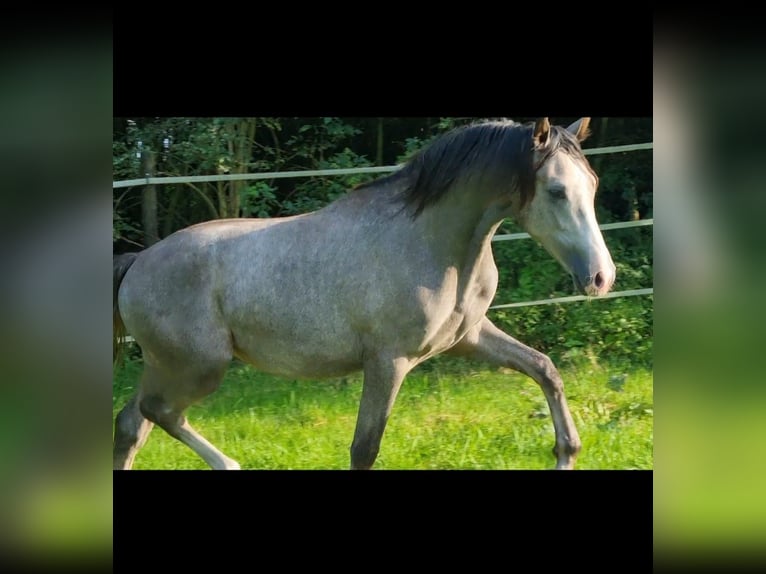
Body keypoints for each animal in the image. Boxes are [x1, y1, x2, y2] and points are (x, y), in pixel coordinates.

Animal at [112, 118, 616, 472]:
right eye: (556, 190)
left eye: (592, 184)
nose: (600, 277)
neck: (431, 242)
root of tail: (138, 262)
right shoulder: (388, 361)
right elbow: (364, 448)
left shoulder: (470, 337)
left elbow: (545, 368)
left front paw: (567, 452)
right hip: (198, 366)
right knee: (158, 413)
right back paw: (229, 464)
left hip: (167, 365)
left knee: (131, 424)